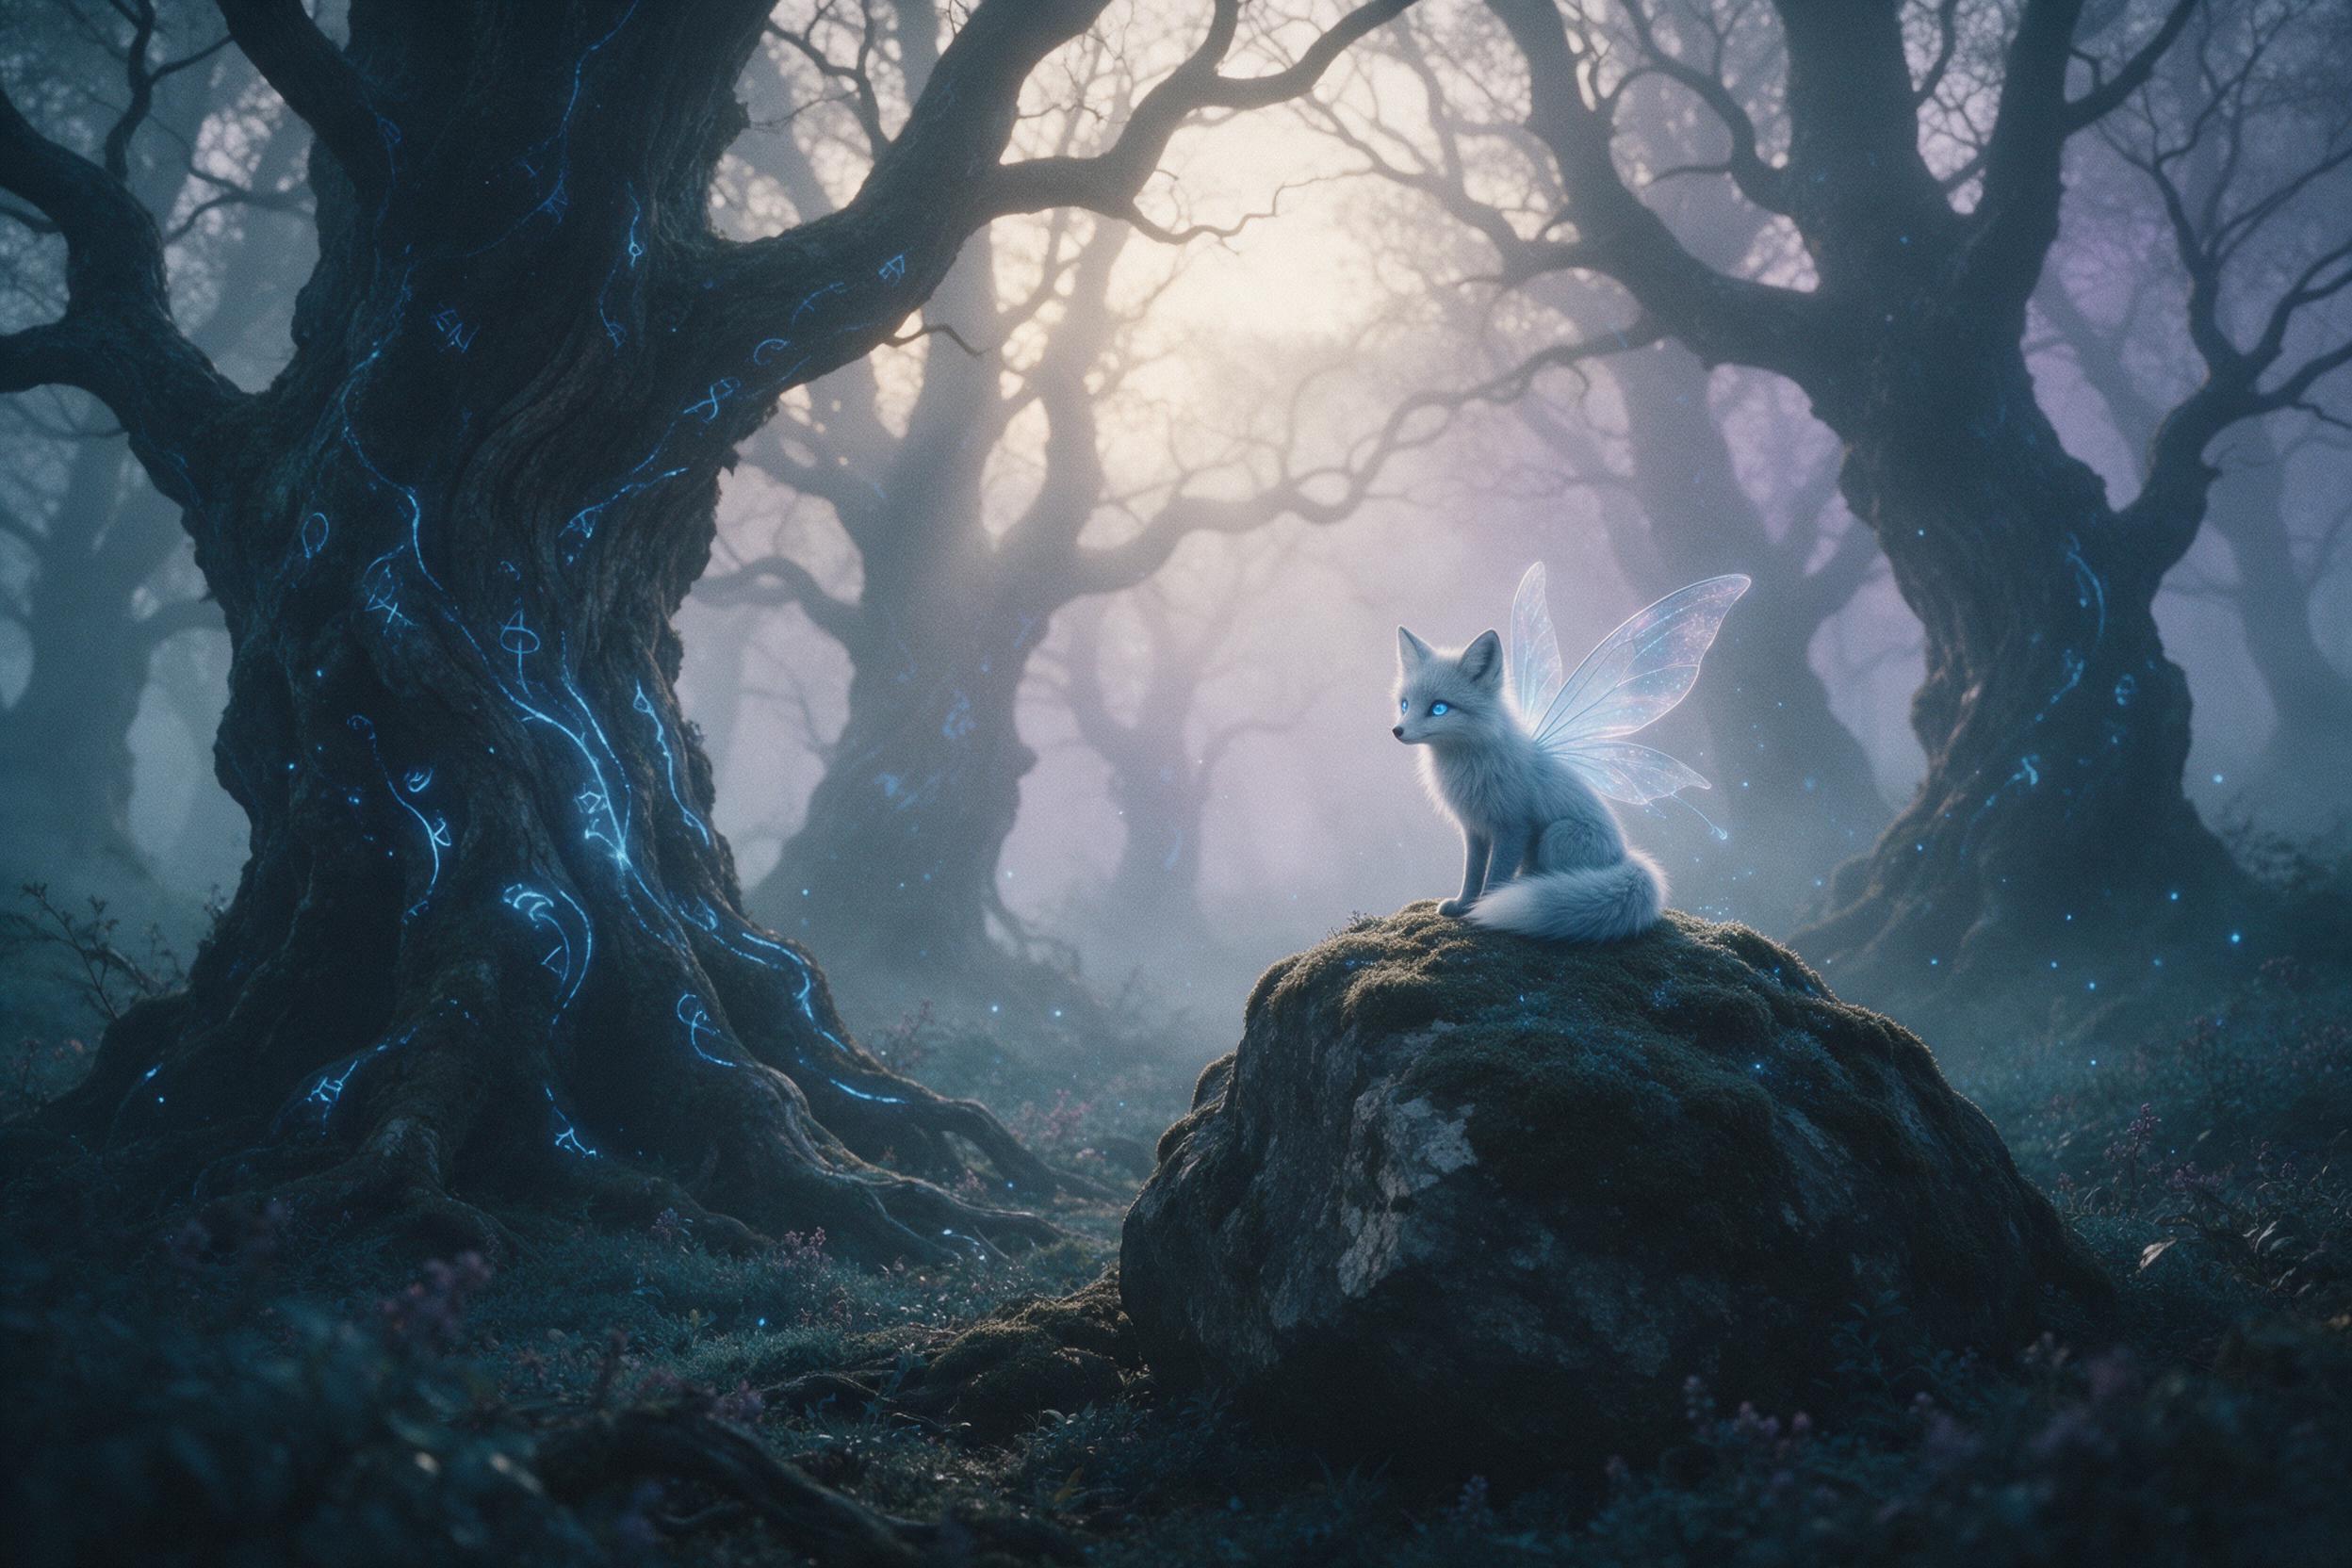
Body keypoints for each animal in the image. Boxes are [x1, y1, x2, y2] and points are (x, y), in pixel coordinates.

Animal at [1392, 626, 1667, 942]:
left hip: (1556, 836)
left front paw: (1483, 908)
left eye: (1438, 708)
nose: (1397, 730)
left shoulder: (1513, 827)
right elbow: (1472, 873)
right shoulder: (1473, 828)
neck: (1468, 765)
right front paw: (1463, 904)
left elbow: (1495, 876)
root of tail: (1623, 856)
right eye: (1405, 704)